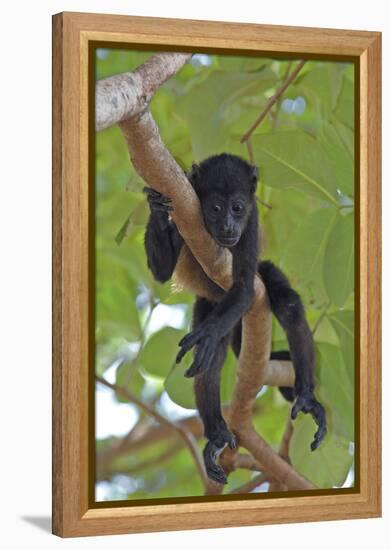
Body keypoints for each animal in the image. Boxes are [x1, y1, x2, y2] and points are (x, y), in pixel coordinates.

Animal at [144, 153, 328, 486]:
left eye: (238, 208)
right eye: (216, 208)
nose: (229, 225)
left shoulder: (251, 223)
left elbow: (243, 287)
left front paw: (205, 336)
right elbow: (161, 272)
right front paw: (155, 206)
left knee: (289, 306)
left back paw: (307, 397)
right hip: (208, 306)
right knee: (213, 360)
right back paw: (216, 433)